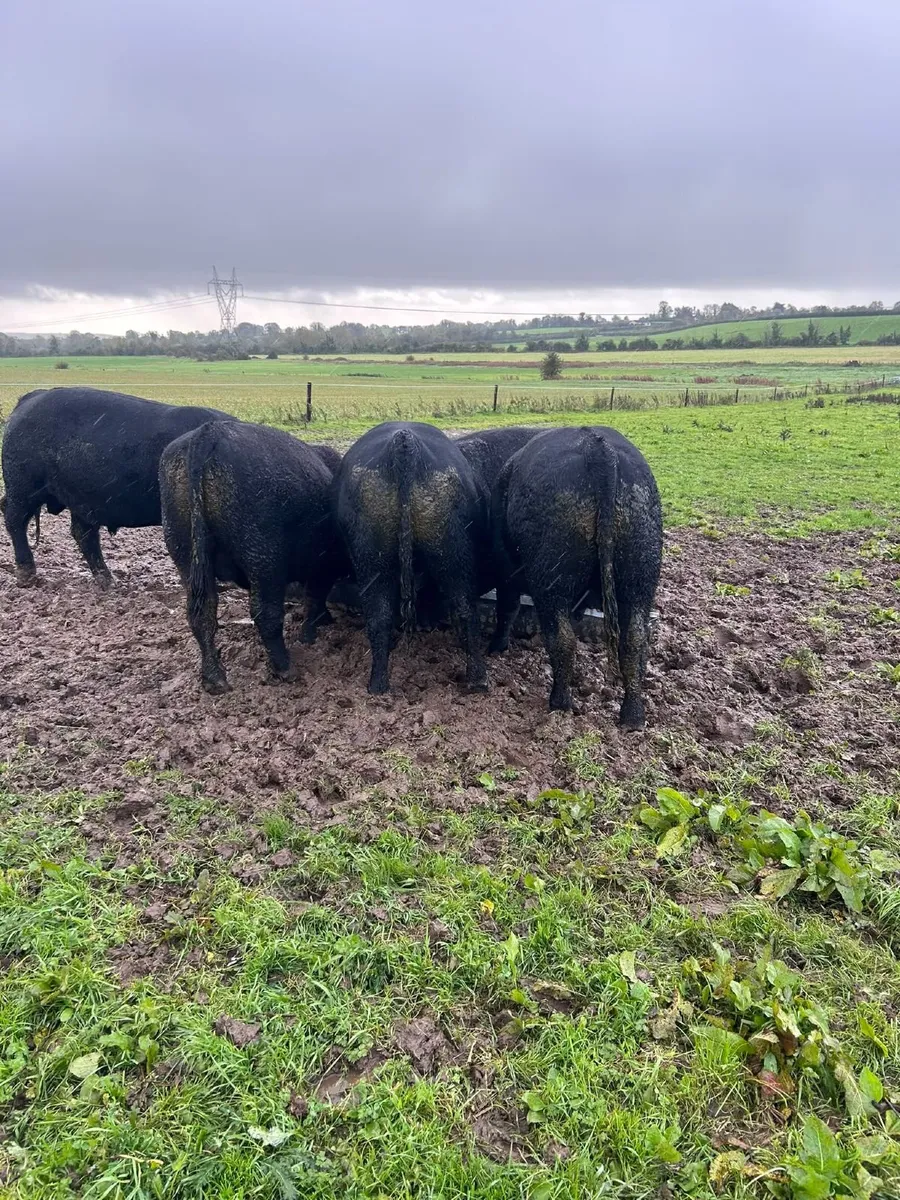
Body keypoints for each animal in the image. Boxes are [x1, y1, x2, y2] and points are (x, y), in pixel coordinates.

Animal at [1, 387, 235, 588]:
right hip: (24, 484)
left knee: (83, 533)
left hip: (81, 497)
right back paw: (26, 575)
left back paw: (109, 582)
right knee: (14, 517)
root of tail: (31, 397)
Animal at [159, 420, 345, 694]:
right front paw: (311, 633)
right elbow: (314, 598)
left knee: (202, 614)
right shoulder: (325, 565)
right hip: (264, 559)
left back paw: (214, 678)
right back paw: (284, 667)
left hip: (186, 557)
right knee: (265, 614)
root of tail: (209, 431)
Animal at [492, 425, 662, 730]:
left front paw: (496, 646)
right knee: (635, 640)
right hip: (640, 574)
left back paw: (560, 703)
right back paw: (632, 717)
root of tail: (598, 449)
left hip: (552, 580)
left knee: (563, 640)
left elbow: (507, 609)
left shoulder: (506, 569)